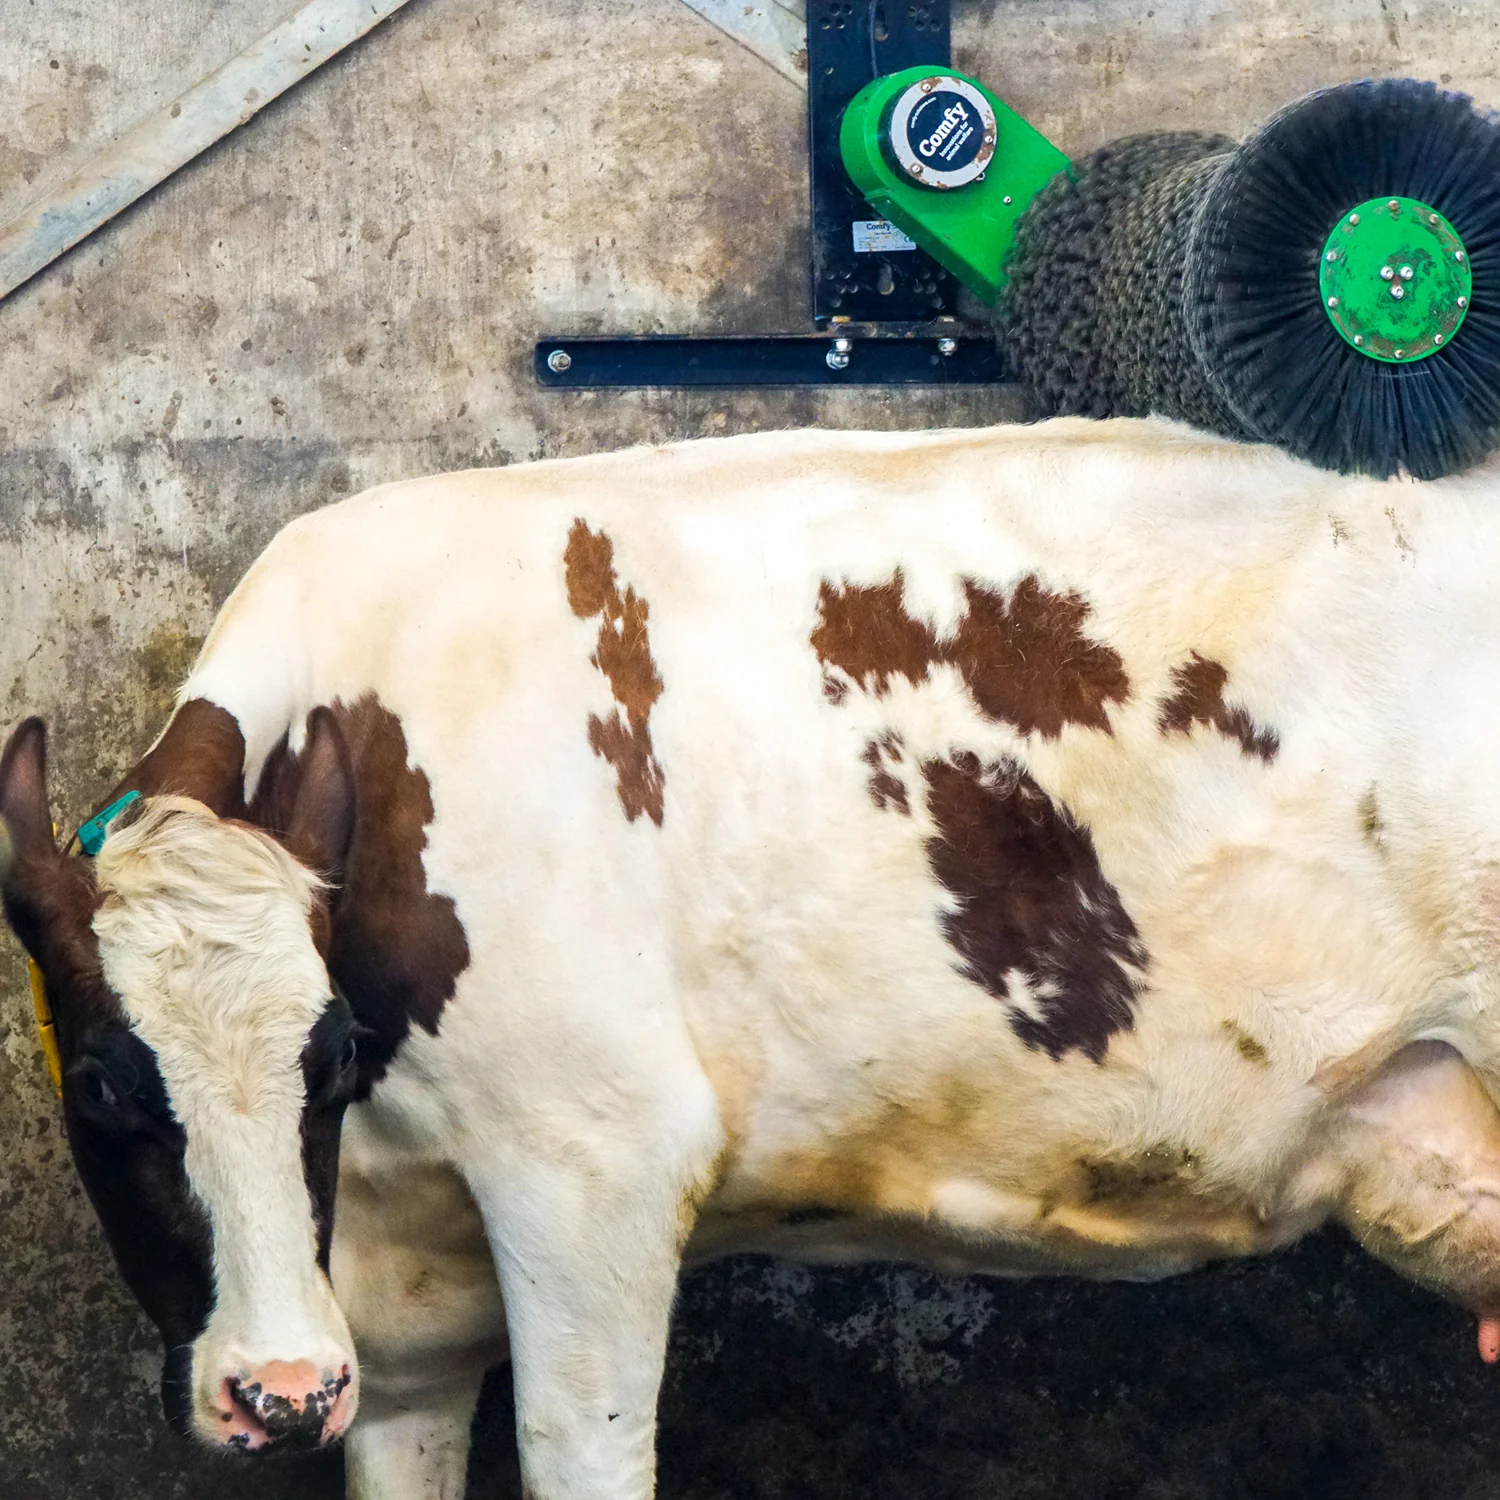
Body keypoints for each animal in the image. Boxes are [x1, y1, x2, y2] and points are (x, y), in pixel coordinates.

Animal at [7, 414, 1500, 1499]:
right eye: (102, 1085)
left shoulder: (597, 1154)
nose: (276, 1392)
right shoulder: (400, 1317)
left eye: (324, 1054)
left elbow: (579, 1458)